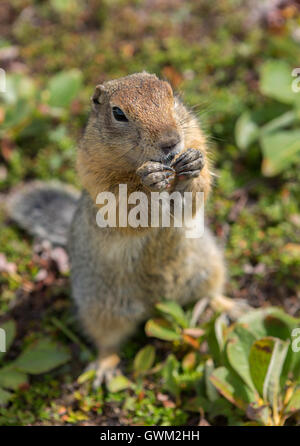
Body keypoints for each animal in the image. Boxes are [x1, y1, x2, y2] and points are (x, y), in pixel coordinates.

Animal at [8, 71, 245, 386]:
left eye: (171, 95)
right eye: (118, 113)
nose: (171, 142)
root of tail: (157, 304)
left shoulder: (193, 135)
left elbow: (197, 191)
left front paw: (193, 164)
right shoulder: (98, 175)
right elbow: (129, 206)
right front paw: (150, 179)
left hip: (208, 265)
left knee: (210, 294)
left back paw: (231, 308)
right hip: (102, 307)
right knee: (107, 342)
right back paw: (104, 368)